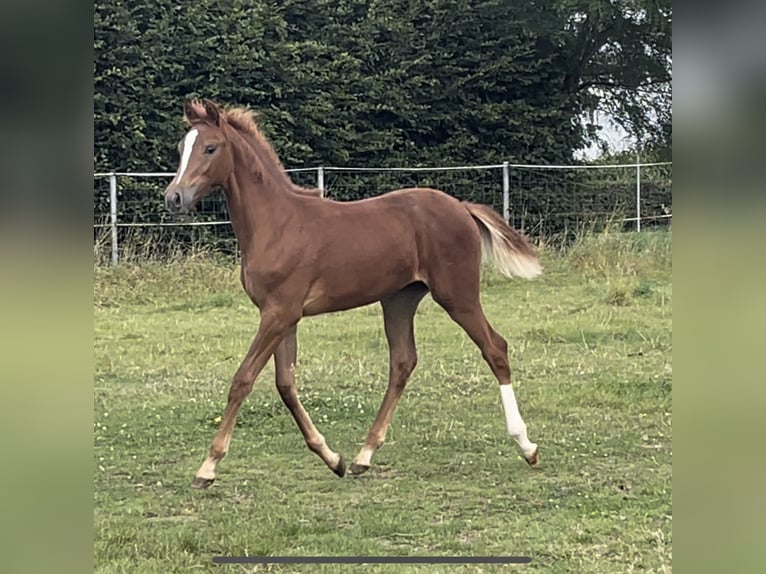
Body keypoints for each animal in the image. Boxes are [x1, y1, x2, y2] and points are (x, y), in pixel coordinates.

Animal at [165, 100, 544, 490]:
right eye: (181, 147)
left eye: (211, 148)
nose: (174, 197)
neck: (277, 224)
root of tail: (461, 206)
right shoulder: (282, 316)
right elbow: (285, 384)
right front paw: (333, 459)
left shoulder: (279, 313)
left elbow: (242, 379)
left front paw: (208, 466)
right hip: (399, 299)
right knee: (403, 362)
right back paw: (364, 455)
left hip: (458, 294)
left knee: (495, 348)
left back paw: (527, 446)